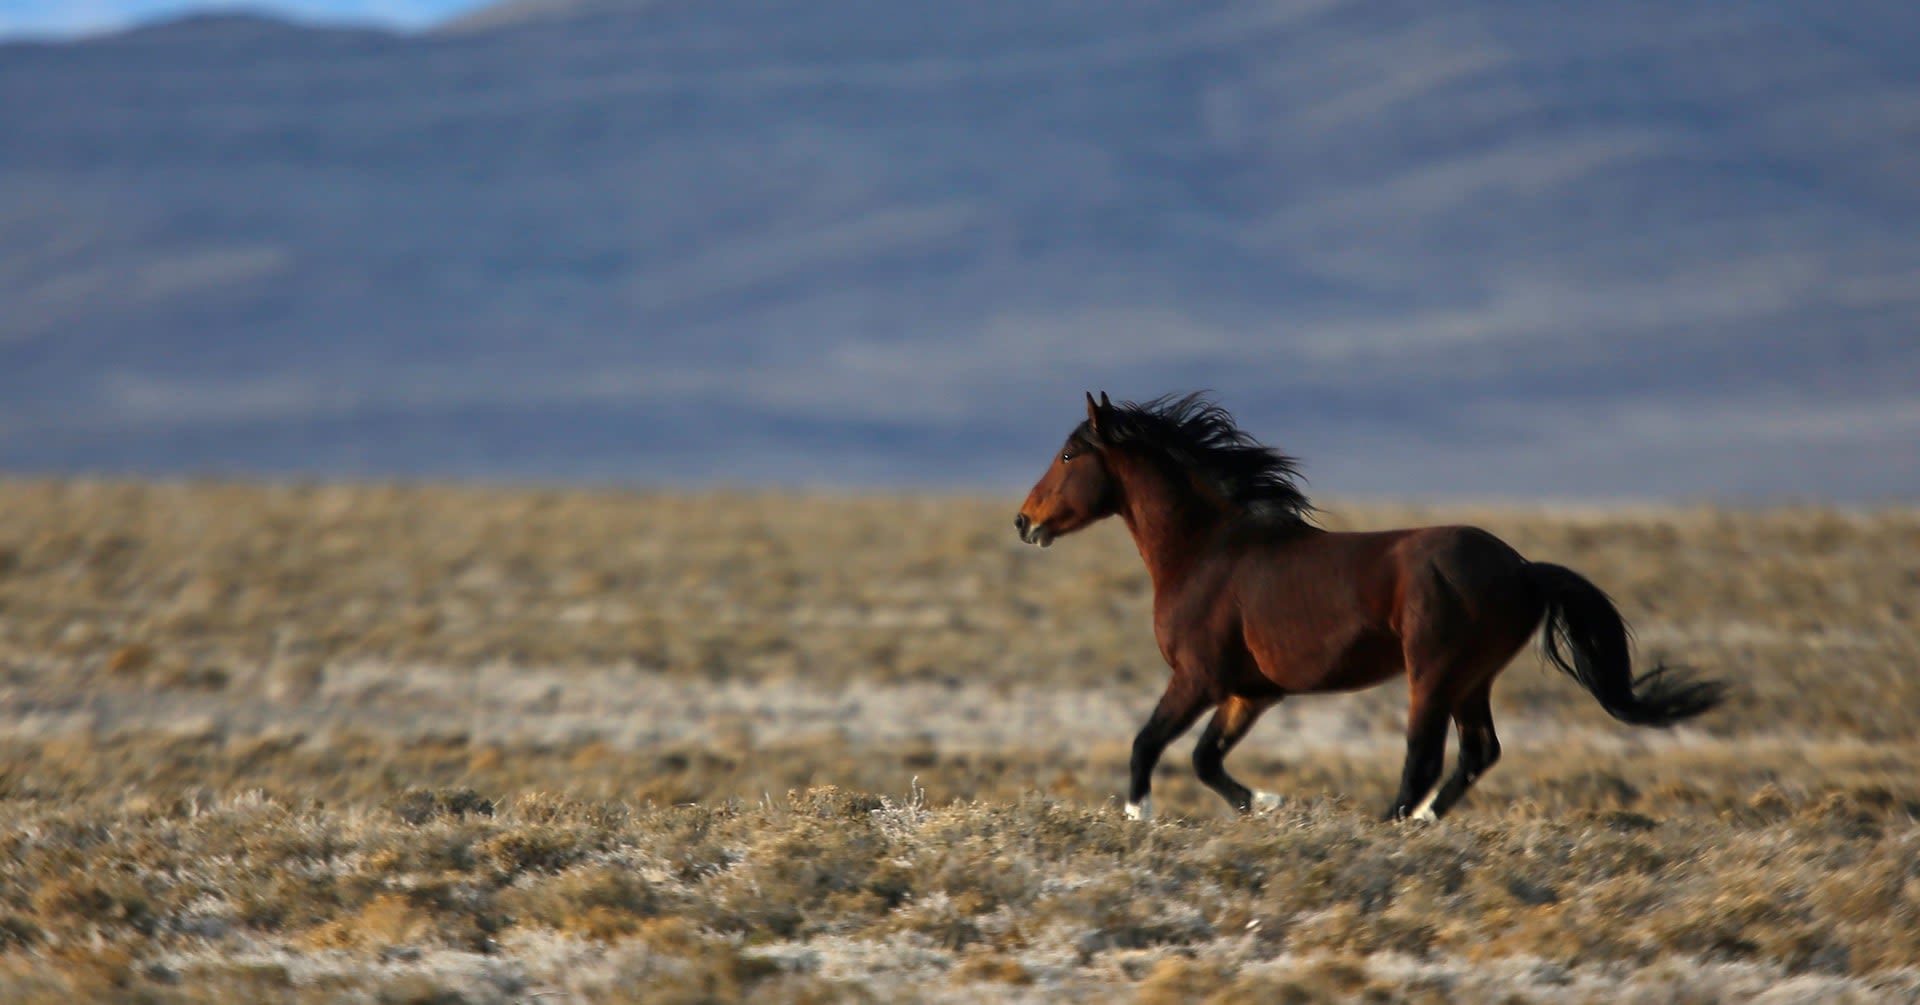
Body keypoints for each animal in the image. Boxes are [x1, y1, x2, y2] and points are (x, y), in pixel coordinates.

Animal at [1021, 390, 1728, 822]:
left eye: (1068, 453)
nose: (1024, 521)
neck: (1208, 551)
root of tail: (1525, 569)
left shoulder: (1198, 679)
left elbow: (1147, 745)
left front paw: (1139, 818)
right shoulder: (1252, 691)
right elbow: (1205, 759)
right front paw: (1269, 804)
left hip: (1433, 673)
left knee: (1425, 757)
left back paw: (1392, 822)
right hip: (1471, 679)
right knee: (1478, 753)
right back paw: (1421, 823)